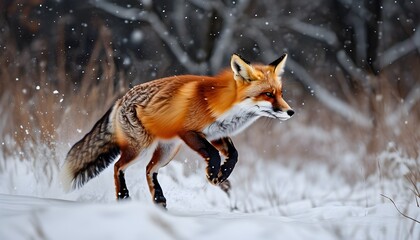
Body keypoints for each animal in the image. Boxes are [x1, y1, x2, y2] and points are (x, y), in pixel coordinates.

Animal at [60, 53, 294, 207]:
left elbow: (234, 155)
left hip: (167, 151)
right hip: (140, 148)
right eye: (268, 94)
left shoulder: (215, 134)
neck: (223, 105)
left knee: (149, 170)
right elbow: (212, 154)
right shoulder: (189, 132)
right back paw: (123, 197)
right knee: (118, 166)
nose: (290, 112)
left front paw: (221, 175)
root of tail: (119, 101)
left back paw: (159, 199)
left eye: (280, 93)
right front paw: (212, 174)